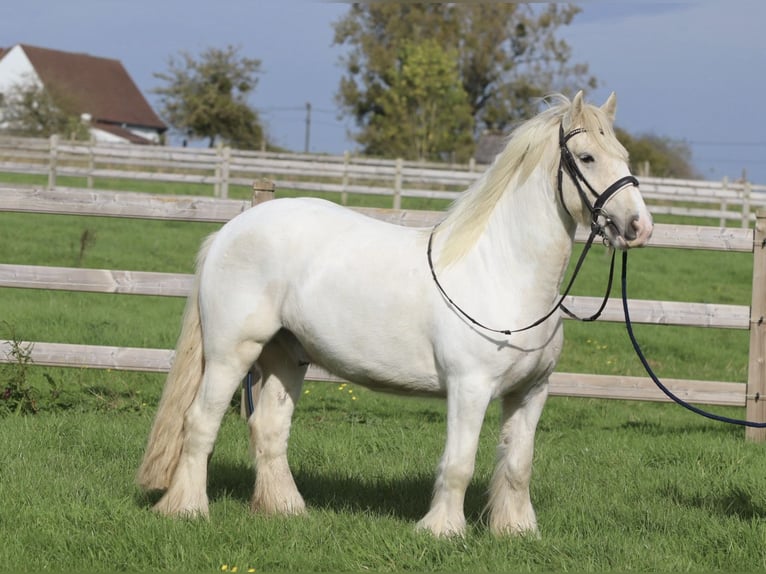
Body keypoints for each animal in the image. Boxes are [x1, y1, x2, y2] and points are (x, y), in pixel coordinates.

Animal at [138, 93, 656, 540]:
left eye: (624, 155)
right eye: (586, 158)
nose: (640, 227)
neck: (503, 271)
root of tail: (230, 230)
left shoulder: (530, 392)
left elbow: (517, 464)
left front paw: (516, 531)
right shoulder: (470, 389)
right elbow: (459, 462)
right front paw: (443, 531)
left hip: (287, 357)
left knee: (268, 428)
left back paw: (286, 510)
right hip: (231, 354)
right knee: (199, 422)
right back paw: (187, 509)